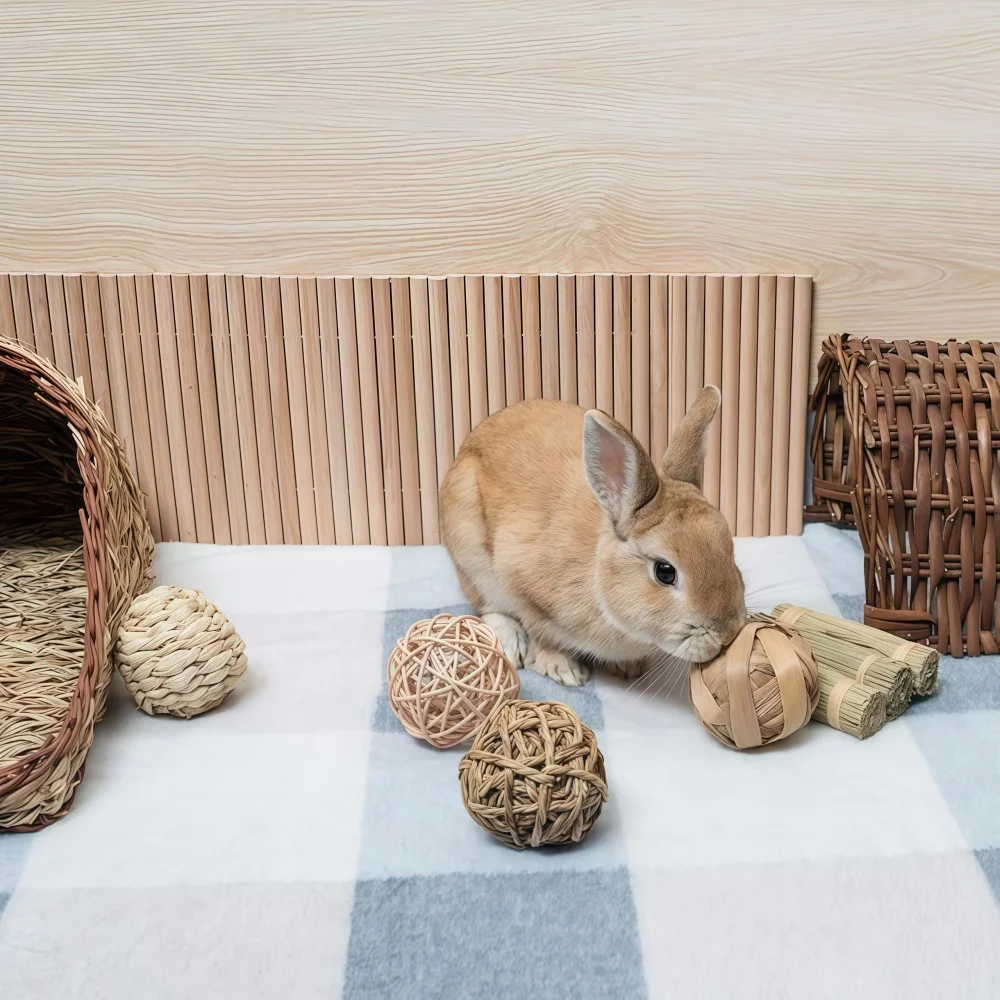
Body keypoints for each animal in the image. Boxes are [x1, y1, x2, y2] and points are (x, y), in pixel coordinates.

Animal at [439, 386, 746, 686]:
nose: (727, 634)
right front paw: (563, 669)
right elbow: (542, 633)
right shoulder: (522, 588)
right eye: (665, 572)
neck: (598, 578)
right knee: (487, 605)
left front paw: (628, 667)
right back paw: (512, 644)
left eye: (730, 550)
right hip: (472, 558)